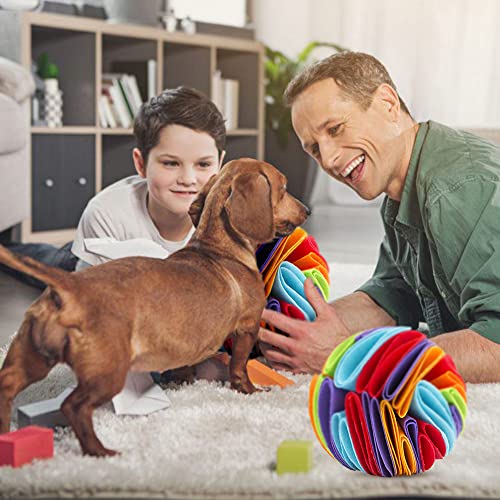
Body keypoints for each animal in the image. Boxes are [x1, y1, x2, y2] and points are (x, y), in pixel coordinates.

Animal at [0, 158, 308, 456]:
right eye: (283, 188)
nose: (307, 211)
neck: (218, 248)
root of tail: (69, 285)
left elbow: (187, 367)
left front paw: (183, 381)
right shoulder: (247, 329)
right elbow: (239, 367)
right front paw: (251, 390)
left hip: (33, 358)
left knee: (7, 385)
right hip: (108, 372)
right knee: (74, 407)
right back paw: (99, 451)